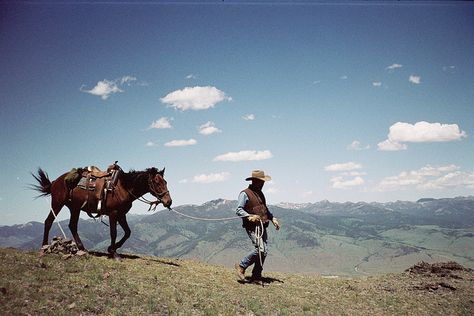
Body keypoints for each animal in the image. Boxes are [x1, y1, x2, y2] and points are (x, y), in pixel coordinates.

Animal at [31, 167, 172, 258]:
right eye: (157, 182)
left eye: (165, 181)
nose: (168, 201)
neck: (123, 188)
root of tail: (55, 182)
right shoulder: (114, 213)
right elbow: (113, 233)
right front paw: (114, 253)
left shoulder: (121, 214)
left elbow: (127, 232)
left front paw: (112, 248)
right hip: (57, 204)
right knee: (49, 221)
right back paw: (44, 246)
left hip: (74, 208)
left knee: (72, 226)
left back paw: (82, 248)